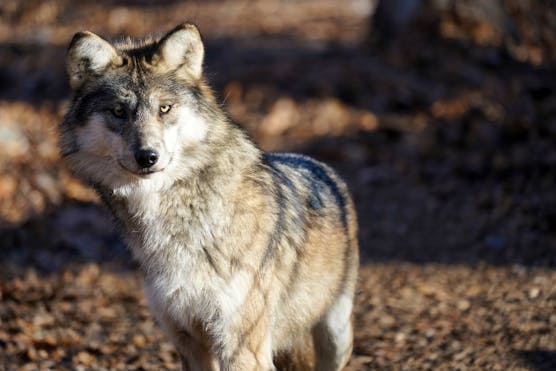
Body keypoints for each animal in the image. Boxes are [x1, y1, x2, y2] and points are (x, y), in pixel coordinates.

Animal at [58, 21, 358, 370]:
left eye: (165, 108)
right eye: (119, 111)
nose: (147, 156)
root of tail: (319, 164)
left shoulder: (241, 347)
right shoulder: (186, 339)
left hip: (336, 336)